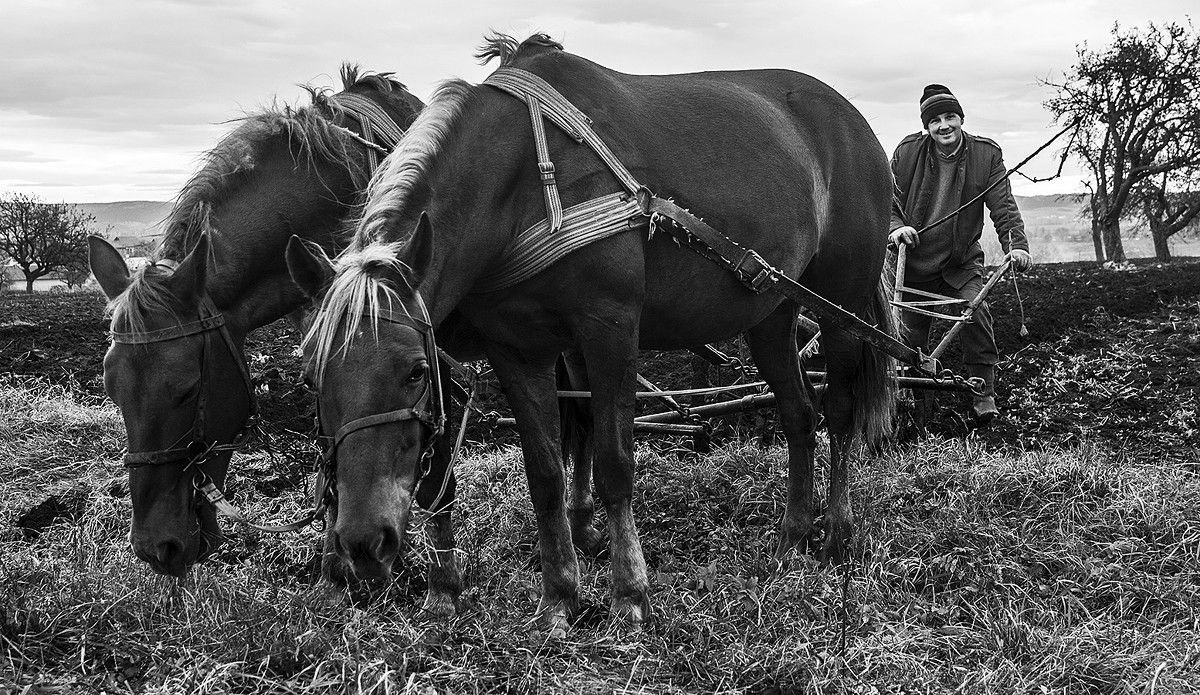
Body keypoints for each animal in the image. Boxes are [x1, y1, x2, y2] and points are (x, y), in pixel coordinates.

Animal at [285, 34, 897, 638]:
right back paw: (792, 535)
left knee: (838, 410)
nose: (364, 542)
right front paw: (559, 596)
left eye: (416, 369)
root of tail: (854, 122)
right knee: (798, 414)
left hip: (840, 306)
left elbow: (614, 463)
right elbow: (545, 473)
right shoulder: (518, 350)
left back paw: (837, 530)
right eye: (311, 377)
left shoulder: (610, 329)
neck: (524, 180)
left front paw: (629, 593)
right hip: (771, 311)